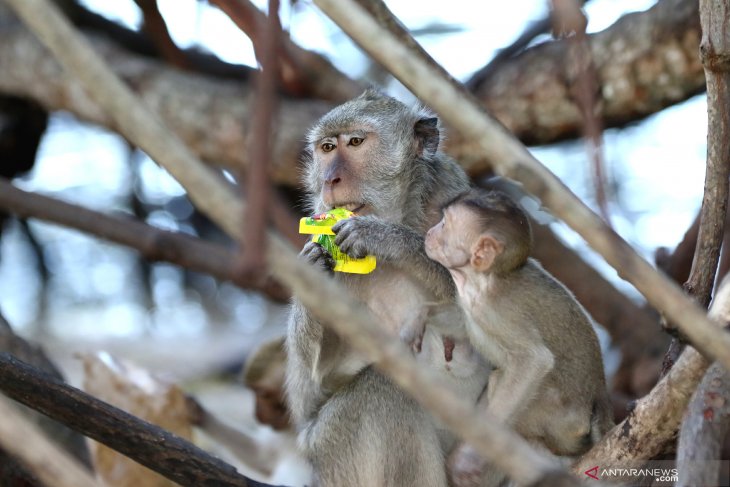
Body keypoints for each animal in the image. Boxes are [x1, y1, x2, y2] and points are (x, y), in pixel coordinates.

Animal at [282, 89, 484, 486]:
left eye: (355, 143)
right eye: (327, 147)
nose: (330, 180)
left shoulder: (454, 194)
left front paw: (385, 237)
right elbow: (310, 391)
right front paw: (314, 267)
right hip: (333, 459)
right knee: (382, 390)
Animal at [424, 189, 612, 486]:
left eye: (445, 224)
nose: (431, 231)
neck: (484, 279)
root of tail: (599, 401)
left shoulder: (497, 310)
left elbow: (534, 360)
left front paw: (470, 455)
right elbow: (462, 324)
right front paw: (420, 315)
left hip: (559, 421)